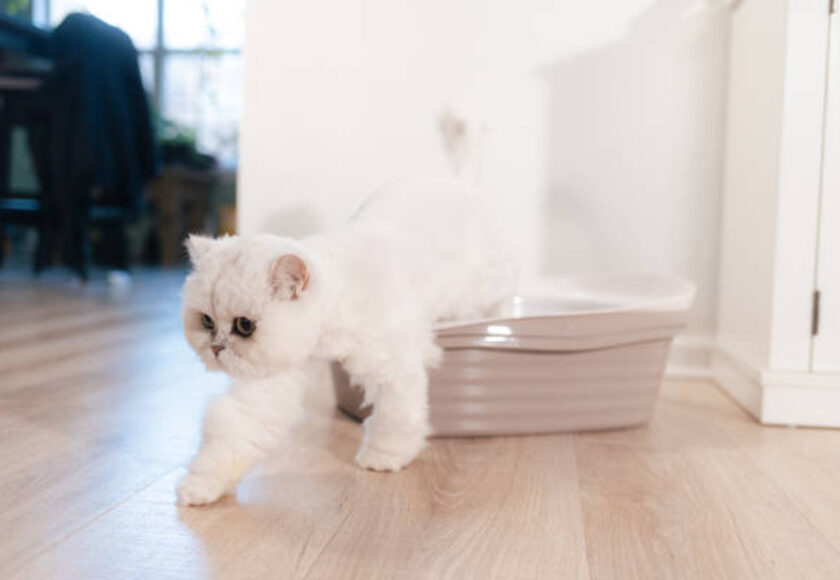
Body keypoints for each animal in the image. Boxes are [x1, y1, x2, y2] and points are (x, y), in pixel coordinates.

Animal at [179, 115, 512, 506]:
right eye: (207, 321)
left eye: (244, 326)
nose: (216, 348)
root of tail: (458, 181)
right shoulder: (268, 386)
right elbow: (231, 433)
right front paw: (199, 488)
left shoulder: (393, 369)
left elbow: (397, 417)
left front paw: (384, 457)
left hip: (483, 293)